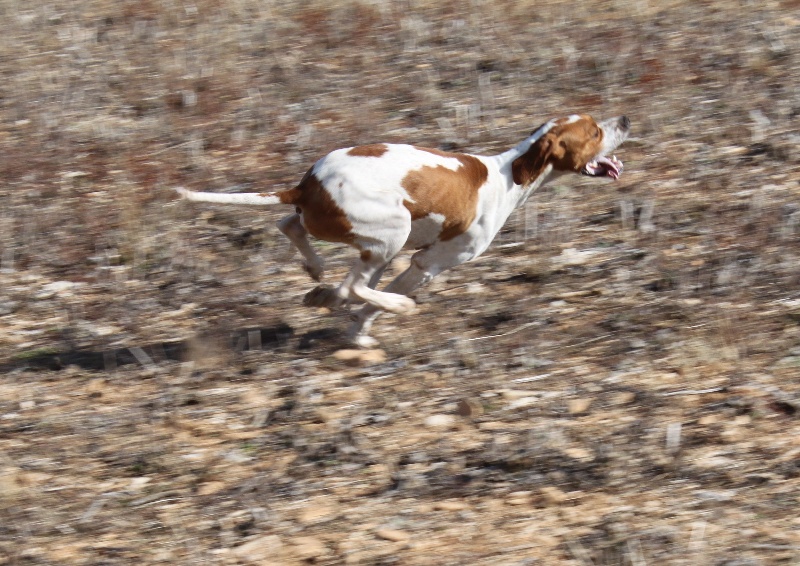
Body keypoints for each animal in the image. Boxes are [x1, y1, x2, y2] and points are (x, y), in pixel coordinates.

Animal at [177, 113, 632, 348]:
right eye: (594, 132)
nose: (625, 119)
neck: (509, 175)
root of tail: (308, 183)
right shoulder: (428, 263)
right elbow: (368, 300)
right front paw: (362, 324)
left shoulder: (400, 258)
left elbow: (351, 297)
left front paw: (338, 313)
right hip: (394, 230)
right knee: (356, 283)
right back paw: (391, 305)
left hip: (374, 239)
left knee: (291, 224)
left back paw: (316, 273)